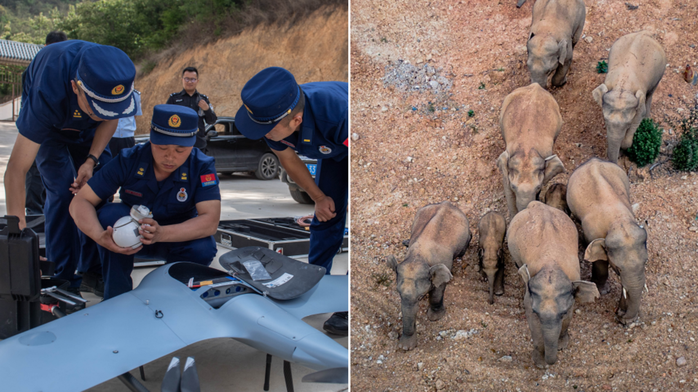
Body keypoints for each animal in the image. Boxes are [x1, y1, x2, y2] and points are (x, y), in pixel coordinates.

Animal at [384, 201, 470, 350]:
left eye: (420, 297)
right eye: (398, 293)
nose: (405, 348)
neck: (418, 257)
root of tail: (446, 203)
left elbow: (437, 290)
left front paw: (435, 317)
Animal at [506, 201, 600, 370]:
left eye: (562, 313)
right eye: (536, 312)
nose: (550, 362)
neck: (551, 266)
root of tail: (536, 204)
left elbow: (569, 317)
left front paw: (562, 345)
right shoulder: (529, 299)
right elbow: (534, 325)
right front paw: (540, 364)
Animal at [564, 157, 648, 324]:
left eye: (645, 262)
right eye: (618, 268)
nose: (621, 316)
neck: (618, 221)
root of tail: (593, 159)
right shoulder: (594, 234)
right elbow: (599, 262)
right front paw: (603, 291)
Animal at [588, 30, 668, 162]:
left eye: (628, 125)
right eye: (605, 121)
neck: (622, 86)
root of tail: (643, 33)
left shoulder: (639, 100)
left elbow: (639, 115)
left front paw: (624, 147)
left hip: (660, 72)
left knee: (650, 94)